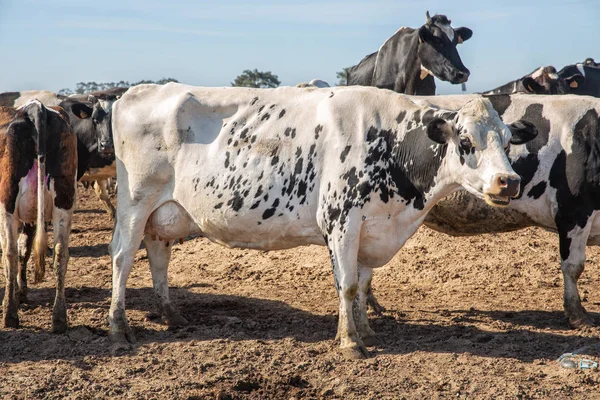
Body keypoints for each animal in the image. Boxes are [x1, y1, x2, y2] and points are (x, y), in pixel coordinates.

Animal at [0, 100, 80, 332]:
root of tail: (36, 107)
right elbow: (25, 248)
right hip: (64, 200)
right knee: (60, 253)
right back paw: (59, 319)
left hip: (7, 203)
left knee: (9, 253)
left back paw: (9, 315)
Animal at [105, 83, 536, 358]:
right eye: (465, 142)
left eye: (507, 140)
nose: (509, 181)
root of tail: (136, 90)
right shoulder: (342, 222)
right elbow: (347, 285)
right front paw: (350, 342)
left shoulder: (372, 229)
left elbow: (363, 282)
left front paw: (365, 330)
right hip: (135, 201)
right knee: (122, 257)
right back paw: (118, 326)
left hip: (165, 212)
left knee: (158, 256)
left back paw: (172, 314)